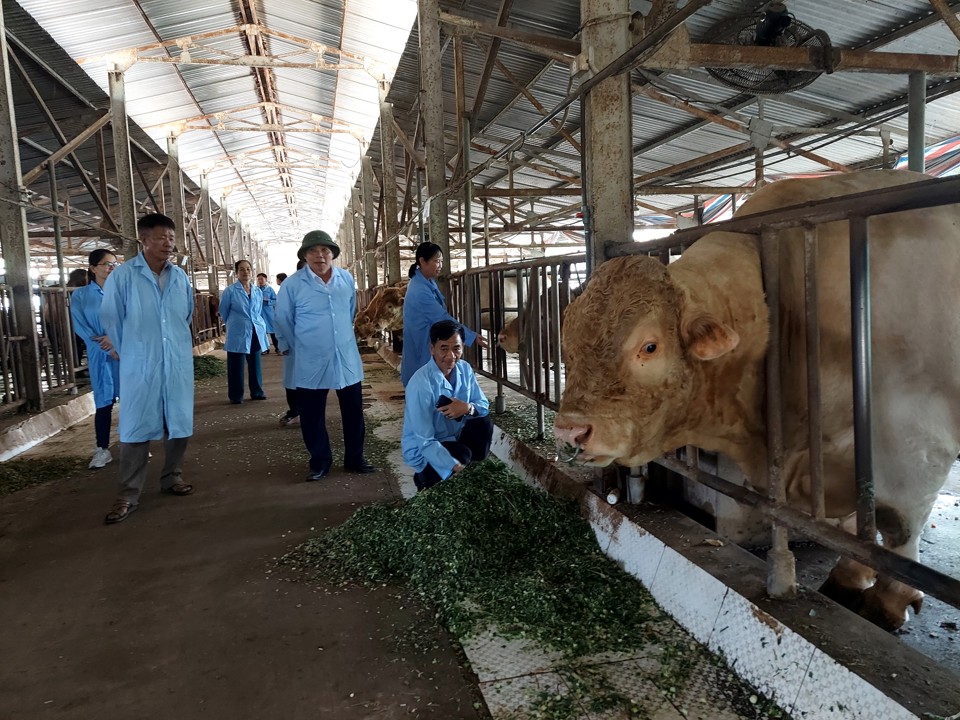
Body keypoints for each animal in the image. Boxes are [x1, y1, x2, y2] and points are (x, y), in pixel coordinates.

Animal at [552, 169, 960, 632]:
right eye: (569, 346)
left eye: (650, 347)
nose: (570, 430)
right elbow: (862, 523)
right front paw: (851, 577)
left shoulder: (915, 445)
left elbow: (898, 529)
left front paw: (887, 601)